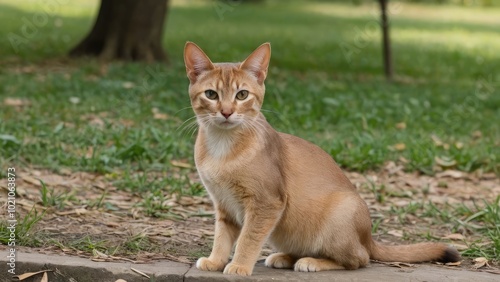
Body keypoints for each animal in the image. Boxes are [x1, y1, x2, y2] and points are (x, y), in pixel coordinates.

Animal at [182, 41, 458, 276]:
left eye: (241, 95)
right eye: (211, 94)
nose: (227, 112)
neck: (222, 147)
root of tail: (368, 237)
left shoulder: (266, 203)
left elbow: (248, 238)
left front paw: (239, 266)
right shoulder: (224, 204)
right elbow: (222, 237)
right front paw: (216, 261)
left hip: (340, 212)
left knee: (360, 259)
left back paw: (312, 262)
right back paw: (285, 257)